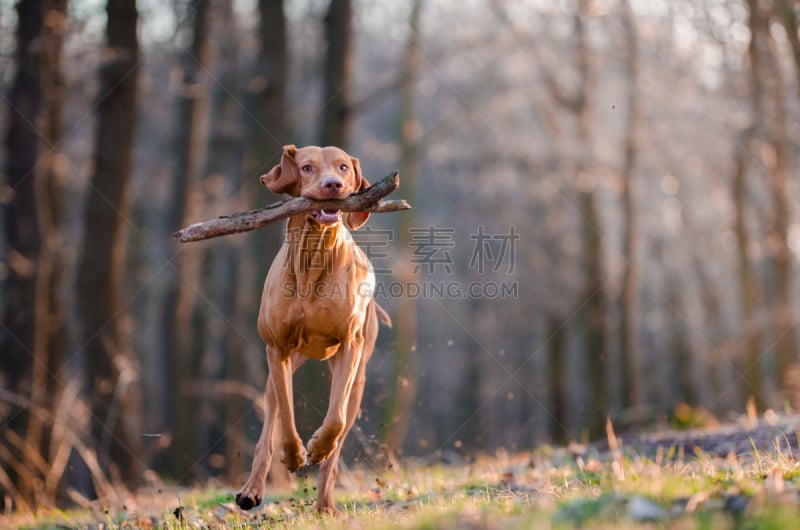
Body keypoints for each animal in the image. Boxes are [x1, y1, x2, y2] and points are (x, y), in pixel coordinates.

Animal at [234, 144, 390, 512]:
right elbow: (286, 418)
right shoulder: (277, 349)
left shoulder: (350, 346)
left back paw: (324, 504)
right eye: (306, 167)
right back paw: (252, 490)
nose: (334, 185)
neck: (313, 258)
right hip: (280, 368)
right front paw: (293, 456)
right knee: (270, 426)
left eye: (343, 167)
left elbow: (334, 420)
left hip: (357, 380)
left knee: (341, 428)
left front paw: (317, 447)